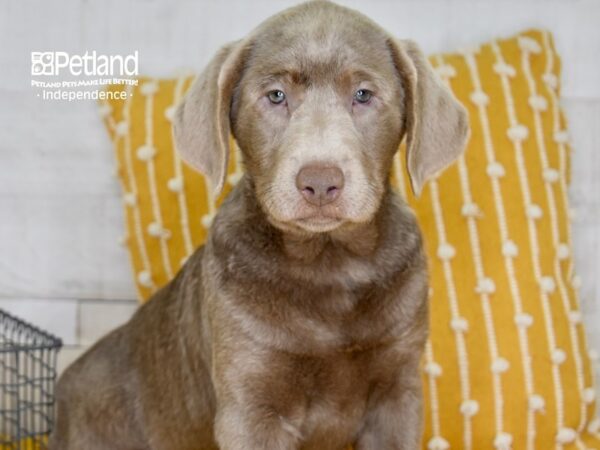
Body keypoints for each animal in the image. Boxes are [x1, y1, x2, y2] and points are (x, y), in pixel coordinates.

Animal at [49, 0, 466, 450]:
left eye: (363, 95)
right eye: (276, 96)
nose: (320, 181)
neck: (329, 264)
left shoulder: (398, 391)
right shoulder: (251, 401)